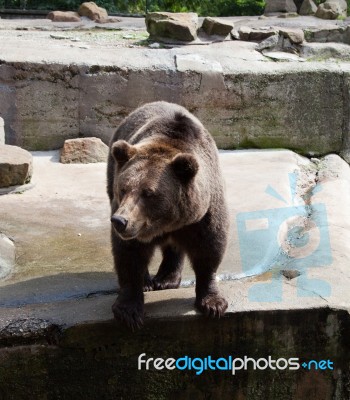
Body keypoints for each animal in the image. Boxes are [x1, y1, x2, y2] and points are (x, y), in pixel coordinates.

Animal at [108, 101, 231, 330]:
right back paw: (149, 282)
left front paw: (213, 303)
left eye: (148, 193)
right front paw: (129, 311)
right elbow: (128, 255)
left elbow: (210, 248)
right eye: (123, 188)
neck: (166, 222)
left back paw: (166, 278)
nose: (119, 221)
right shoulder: (132, 223)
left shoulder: (204, 214)